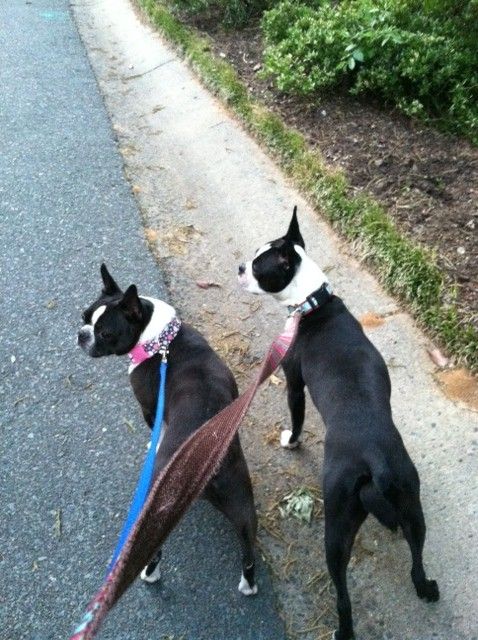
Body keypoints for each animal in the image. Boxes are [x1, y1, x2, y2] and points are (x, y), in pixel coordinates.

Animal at [77, 264, 258, 596]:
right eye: (84, 316)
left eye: (105, 333)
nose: (81, 335)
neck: (158, 338)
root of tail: (204, 459)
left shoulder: (149, 407)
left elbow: (156, 428)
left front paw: (154, 444)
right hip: (241, 498)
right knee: (247, 546)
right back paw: (249, 584)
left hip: (155, 504)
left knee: (153, 549)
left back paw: (149, 574)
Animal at [237, 210, 438, 640]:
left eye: (260, 266)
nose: (240, 266)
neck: (313, 303)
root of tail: (375, 459)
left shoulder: (294, 382)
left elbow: (296, 419)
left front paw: (291, 441)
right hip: (410, 500)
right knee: (417, 558)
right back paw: (426, 588)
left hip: (338, 519)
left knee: (343, 592)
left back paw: (342, 629)